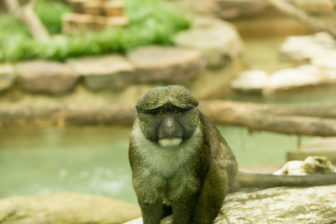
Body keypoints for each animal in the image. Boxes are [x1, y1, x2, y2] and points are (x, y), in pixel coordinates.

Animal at [129, 85, 336, 224]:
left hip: (226, 170)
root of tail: (236, 171)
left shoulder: (198, 142)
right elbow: (147, 194)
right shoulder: (137, 144)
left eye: (176, 111)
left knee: (215, 170)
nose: (170, 126)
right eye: (160, 113)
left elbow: (186, 193)